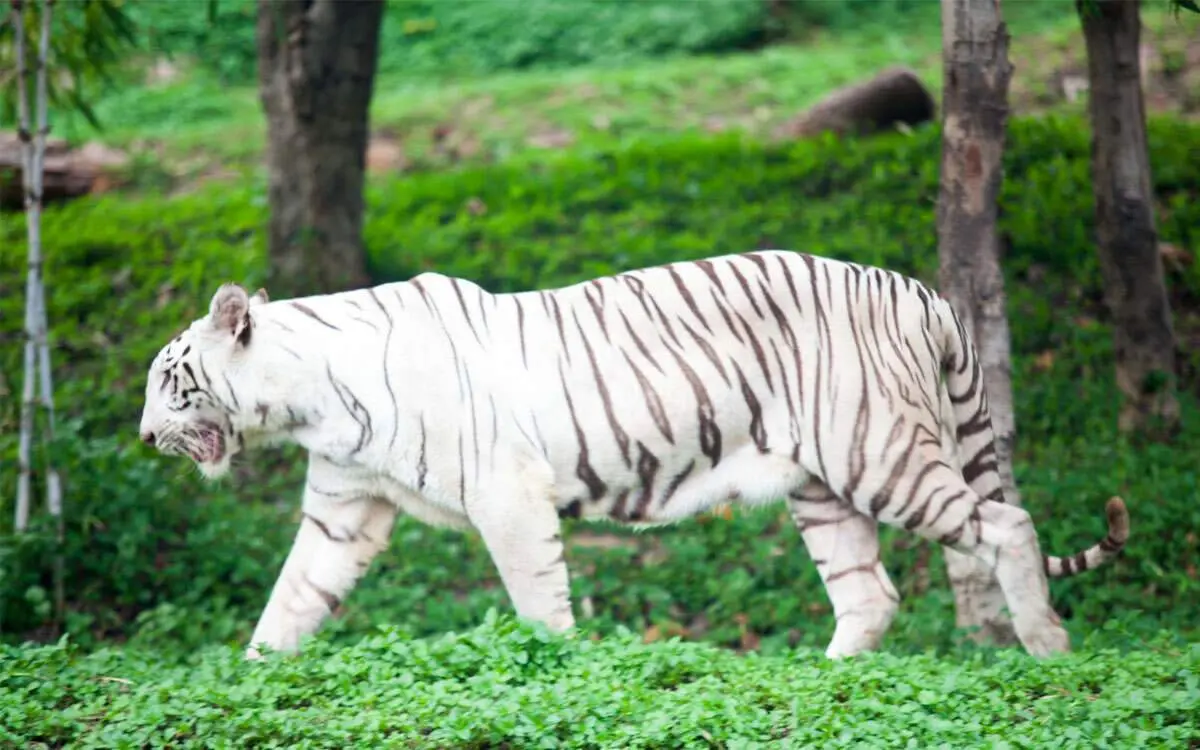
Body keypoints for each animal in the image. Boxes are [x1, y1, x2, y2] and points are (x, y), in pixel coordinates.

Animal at [137, 249, 1129, 661]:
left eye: (172, 382)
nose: (144, 437)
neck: (307, 398)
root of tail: (923, 291)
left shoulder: (508, 494)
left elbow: (538, 604)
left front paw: (559, 673)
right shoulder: (343, 508)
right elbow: (291, 599)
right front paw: (251, 678)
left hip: (880, 452)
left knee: (1006, 523)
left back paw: (1050, 650)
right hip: (822, 486)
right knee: (871, 593)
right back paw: (823, 678)